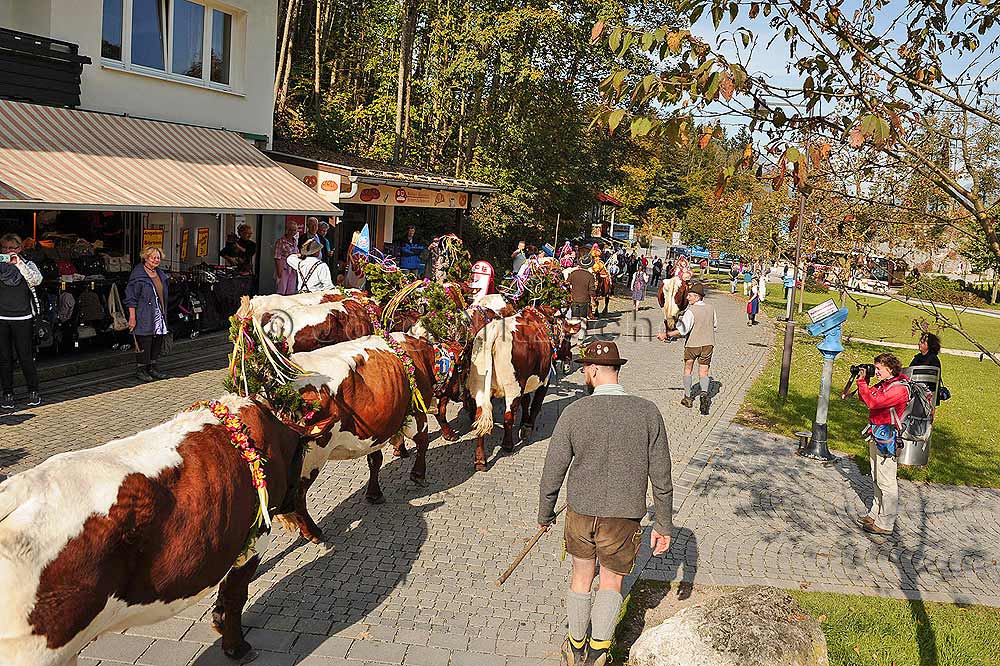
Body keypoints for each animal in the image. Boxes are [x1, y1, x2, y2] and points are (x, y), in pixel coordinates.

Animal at [276, 334, 444, 544]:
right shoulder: (416, 412)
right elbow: (423, 442)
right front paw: (418, 475)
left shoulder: (378, 429)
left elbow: (375, 460)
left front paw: (374, 494)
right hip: (312, 455)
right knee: (298, 495)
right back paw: (312, 532)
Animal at [466, 308, 580, 470]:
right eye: (568, 336)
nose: (569, 356)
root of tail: (494, 329)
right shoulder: (544, 379)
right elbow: (535, 405)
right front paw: (527, 426)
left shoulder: (525, 383)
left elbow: (526, 402)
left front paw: (523, 422)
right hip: (513, 387)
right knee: (508, 416)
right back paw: (507, 445)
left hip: (480, 387)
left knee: (481, 417)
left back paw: (480, 460)